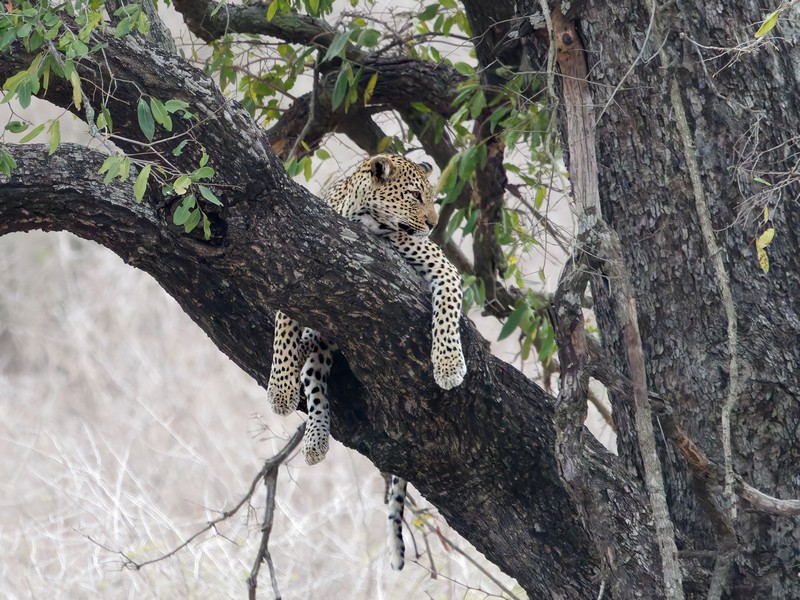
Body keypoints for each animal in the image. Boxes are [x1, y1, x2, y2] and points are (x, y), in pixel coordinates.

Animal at [266, 152, 466, 568]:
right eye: (414, 196)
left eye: (432, 198)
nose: (432, 225)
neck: (363, 217)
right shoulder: (293, 275)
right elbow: (283, 333)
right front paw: (279, 391)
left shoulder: (439, 265)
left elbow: (447, 310)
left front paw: (448, 365)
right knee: (315, 384)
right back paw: (315, 440)